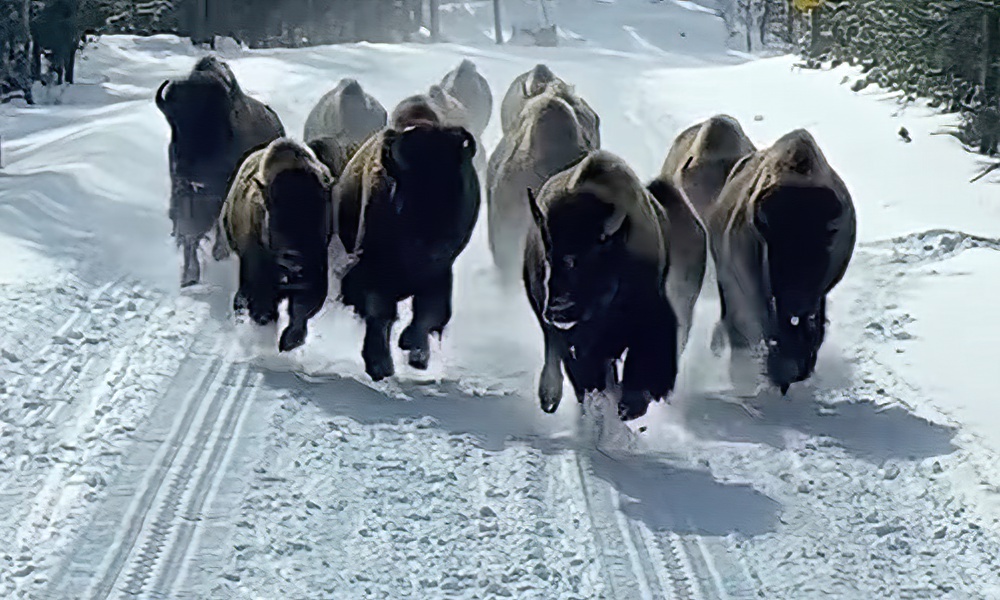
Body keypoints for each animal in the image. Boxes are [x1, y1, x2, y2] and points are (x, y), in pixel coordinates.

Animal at [154, 56, 286, 288]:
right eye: (174, 122)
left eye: (220, 120)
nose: (192, 171)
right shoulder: (184, 192)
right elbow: (189, 230)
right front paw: (189, 277)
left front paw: (218, 253)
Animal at [332, 124, 480, 382]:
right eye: (404, 184)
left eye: (456, 185)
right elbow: (383, 313)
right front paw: (383, 364)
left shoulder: (439, 274)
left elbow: (430, 313)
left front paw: (414, 353)